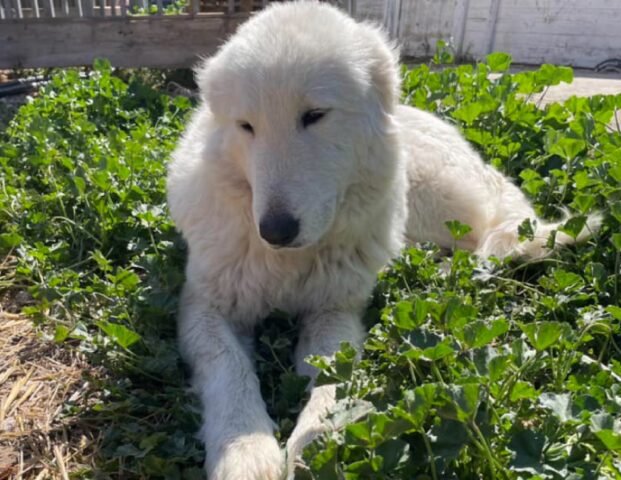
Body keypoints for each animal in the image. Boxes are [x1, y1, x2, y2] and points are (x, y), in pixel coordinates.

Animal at [166, 2, 600, 476]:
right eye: (246, 126)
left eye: (314, 115)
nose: (275, 232)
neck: (289, 262)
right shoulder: (204, 307)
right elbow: (230, 370)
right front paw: (244, 453)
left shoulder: (335, 310)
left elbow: (333, 380)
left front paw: (319, 442)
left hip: (430, 197)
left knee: (485, 241)